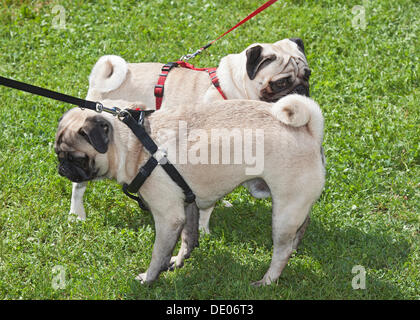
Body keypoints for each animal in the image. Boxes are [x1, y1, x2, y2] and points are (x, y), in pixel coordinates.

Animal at [55, 94, 324, 284]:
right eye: (58, 153)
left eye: (77, 158)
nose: (61, 168)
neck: (135, 144)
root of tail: (310, 131)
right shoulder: (187, 203)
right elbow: (188, 239)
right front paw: (178, 261)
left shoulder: (168, 217)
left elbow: (158, 253)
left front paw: (149, 278)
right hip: (294, 208)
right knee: (301, 228)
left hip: (284, 211)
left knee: (281, 251)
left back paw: (267, 281)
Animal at [69, 37, 312, 235]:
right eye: (280, 83)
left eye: (308, 75)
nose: (302, 90)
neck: (233, 89)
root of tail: (101, 82)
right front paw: (204, 230)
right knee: (78, 186)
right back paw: (76, 214)